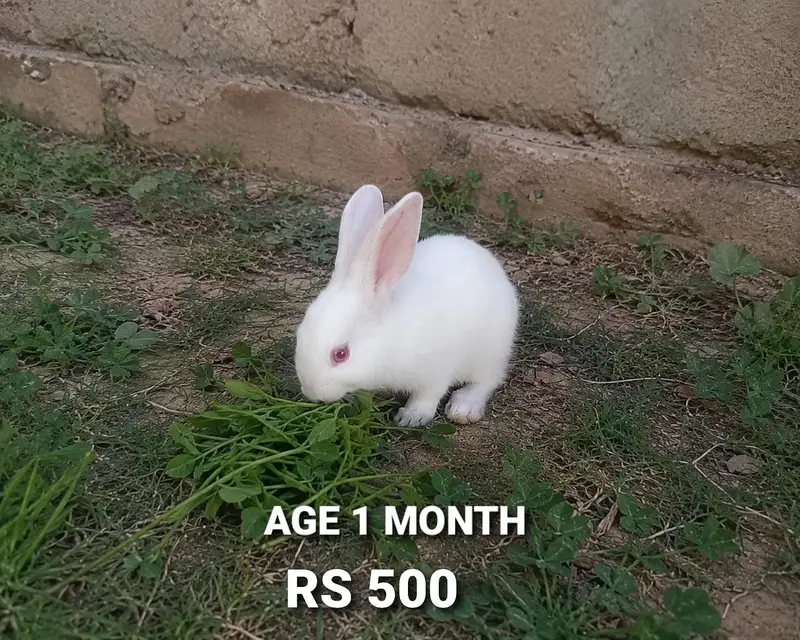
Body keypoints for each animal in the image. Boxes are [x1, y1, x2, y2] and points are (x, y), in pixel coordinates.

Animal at [294, 184, 519, 427]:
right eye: (299, 333)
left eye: (341, 354)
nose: (311, 393)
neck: (389, 339)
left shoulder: (438, 368)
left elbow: (429, 394)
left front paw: (412, 417)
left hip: (490, 351)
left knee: (488, 380)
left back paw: (464, 407)